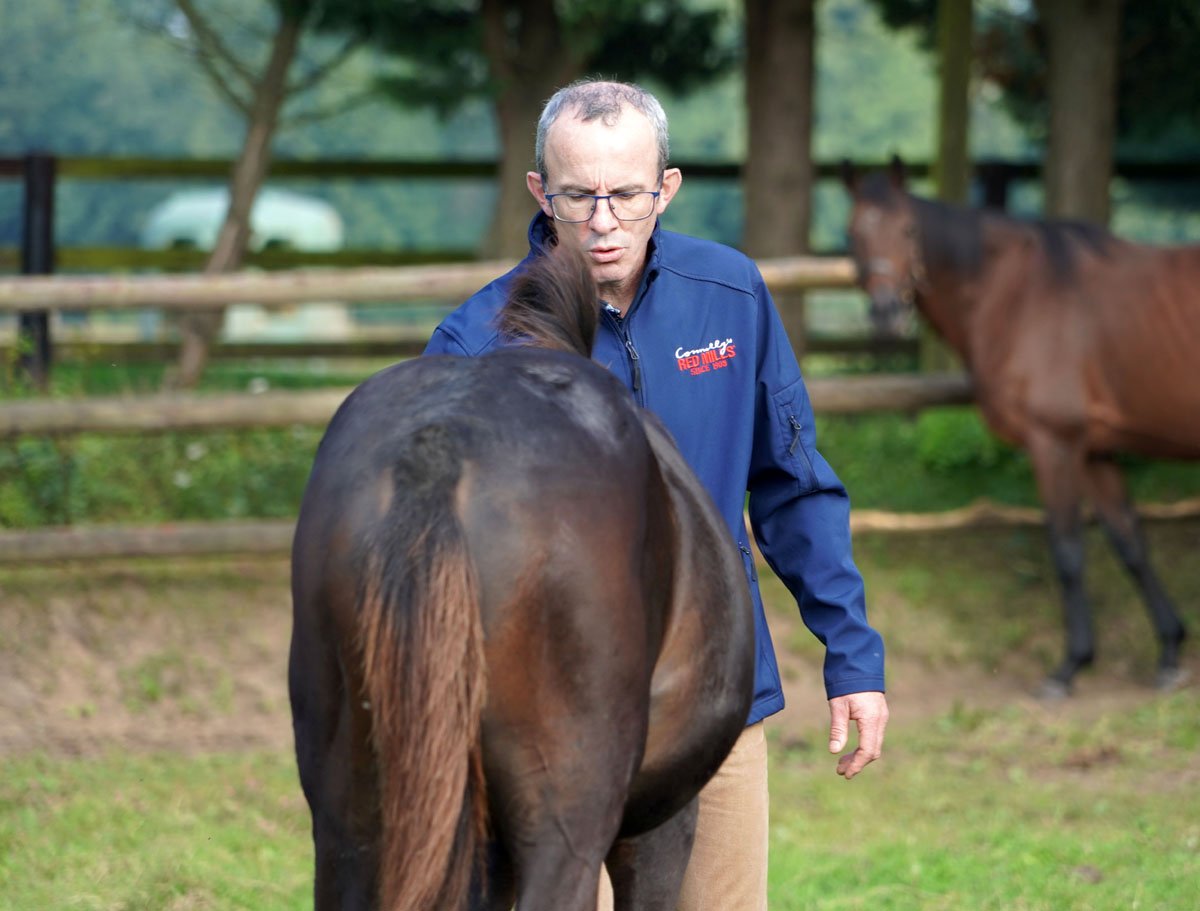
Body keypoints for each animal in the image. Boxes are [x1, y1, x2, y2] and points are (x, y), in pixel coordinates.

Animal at [841, 156, 1195, 696]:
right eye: (854, 234)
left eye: (907, 229)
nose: (887, 313)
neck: (1017, 292)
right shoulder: (1094, 450)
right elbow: (1130, 543)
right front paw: (1170, 651)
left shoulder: (1054, 443)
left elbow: (1067, 550)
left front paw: (1068, 667)